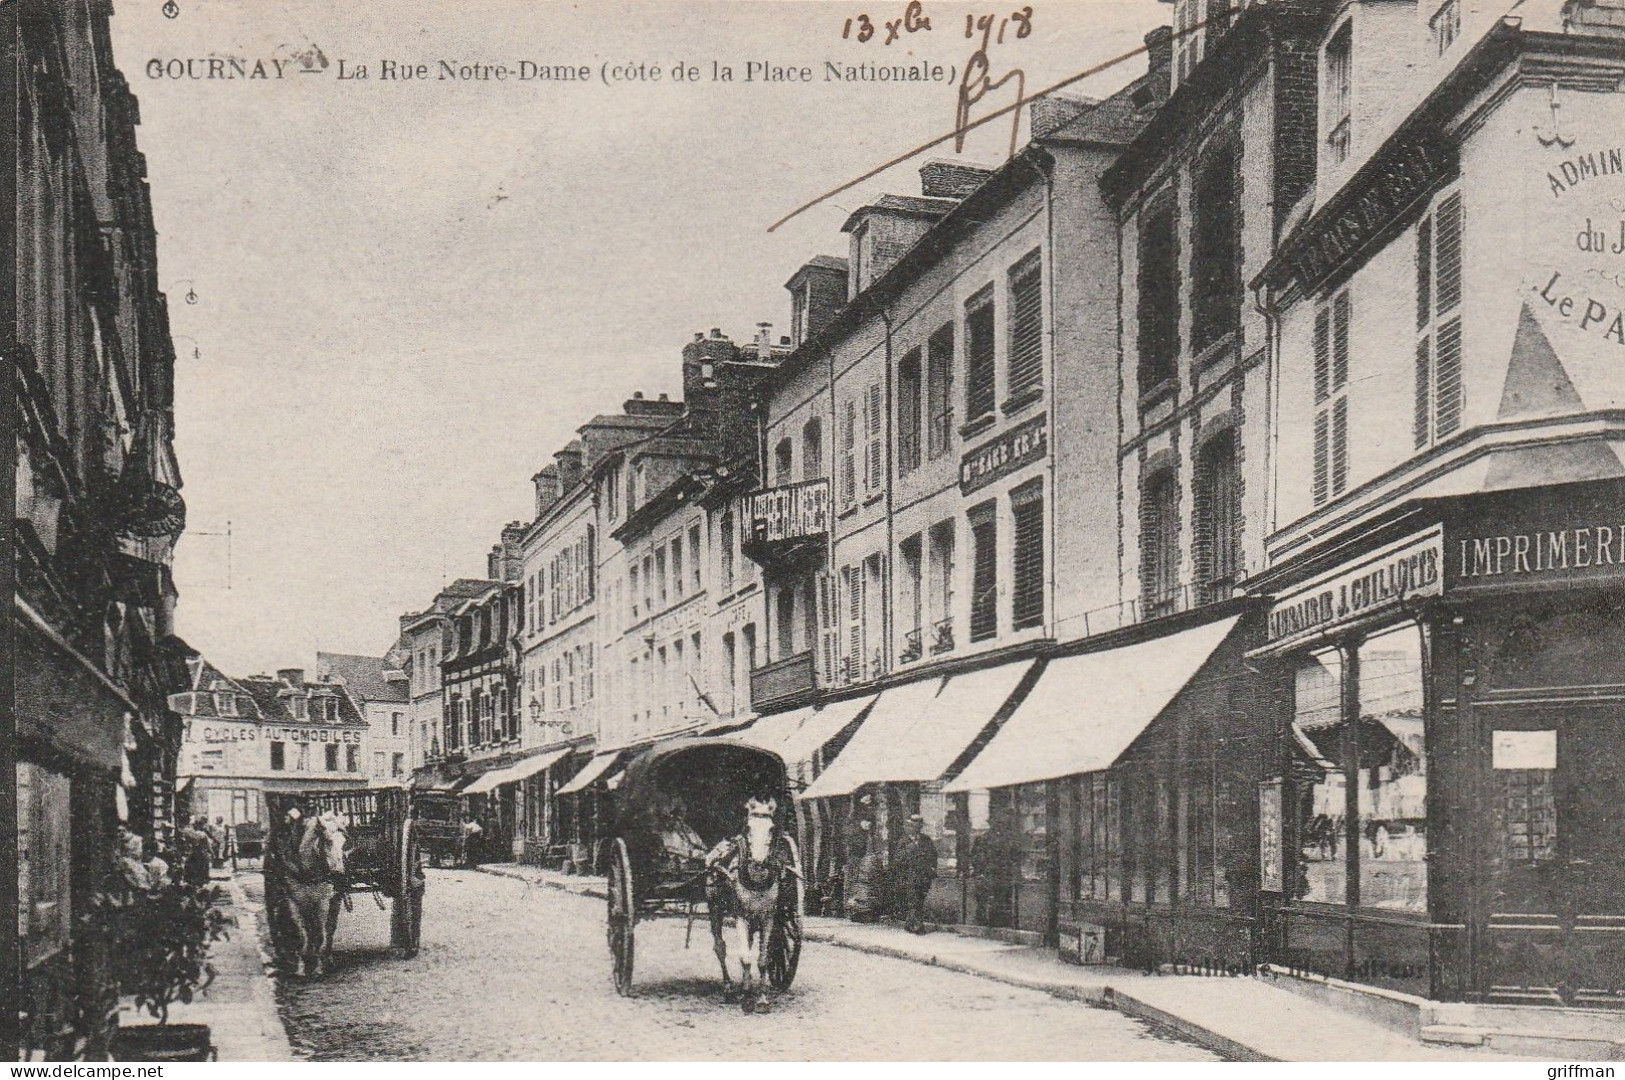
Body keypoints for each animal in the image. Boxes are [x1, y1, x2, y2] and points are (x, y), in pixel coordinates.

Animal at [268, 808, 347, 974]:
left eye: (344, 843)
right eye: (328, 841)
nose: (339, 874)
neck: (308, 871)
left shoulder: (323, 901)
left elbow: (320, 933)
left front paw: (317, 966)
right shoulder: (292, 900)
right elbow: (300, 933)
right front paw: (300, 966)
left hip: (335, 899)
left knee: (329, 928)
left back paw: (326, 957)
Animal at [705, 792, 786, 1013]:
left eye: (771, 828)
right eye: (748, 827)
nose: (758, 862)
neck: (757, 882)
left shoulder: (767, 918)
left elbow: (763, 960)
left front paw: (762, 999)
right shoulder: (741, 917)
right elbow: (745, 957)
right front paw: (748, 998)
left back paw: (743, 985)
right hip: (715, 909)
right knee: (720, 948)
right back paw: (730, 989)